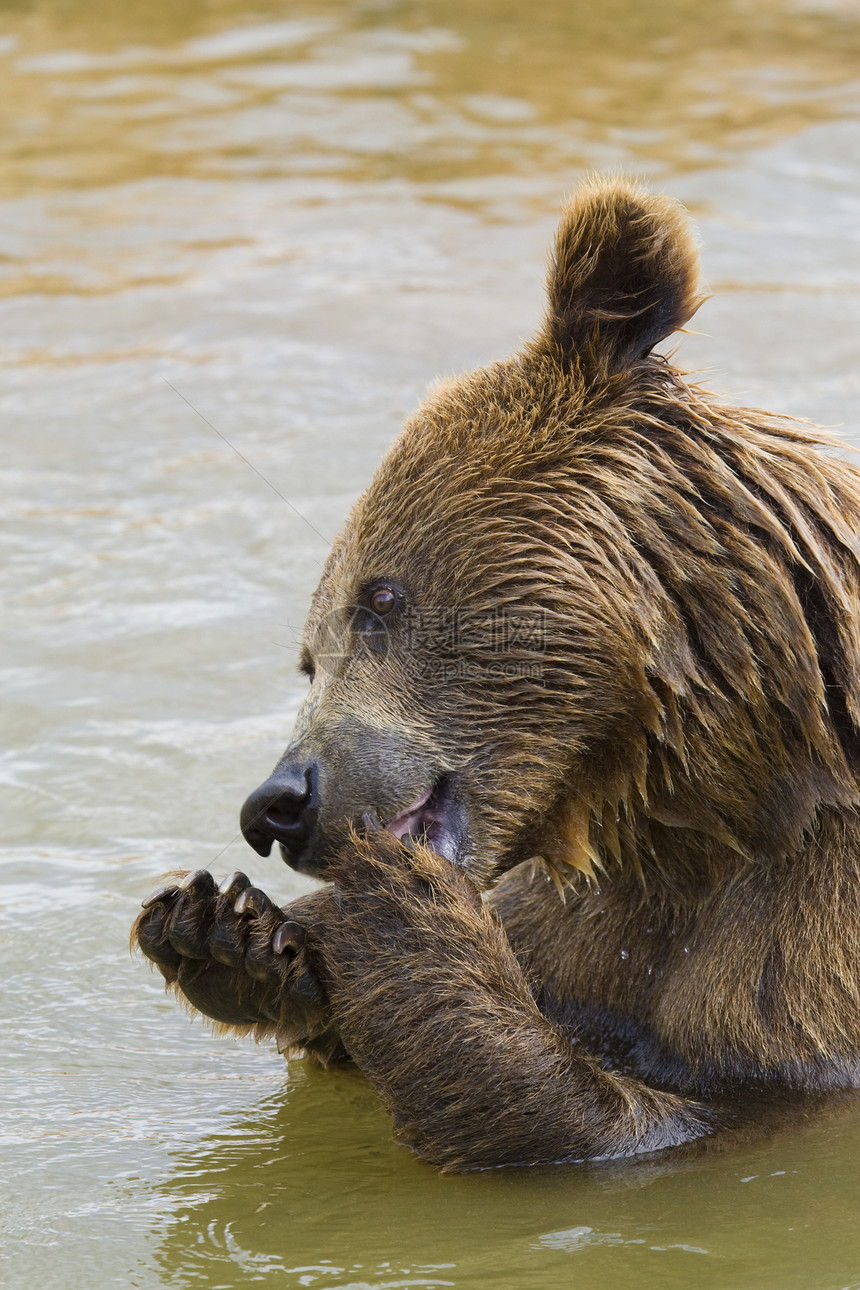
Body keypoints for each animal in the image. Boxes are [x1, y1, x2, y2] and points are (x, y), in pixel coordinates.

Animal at [132, 176, 860, 1176]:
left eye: (380, 597)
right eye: (309, 654)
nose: (277, 803)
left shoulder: (807, 961)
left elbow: (651, 1121)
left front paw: (393, 913)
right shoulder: (586, 930)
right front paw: (223, 931)